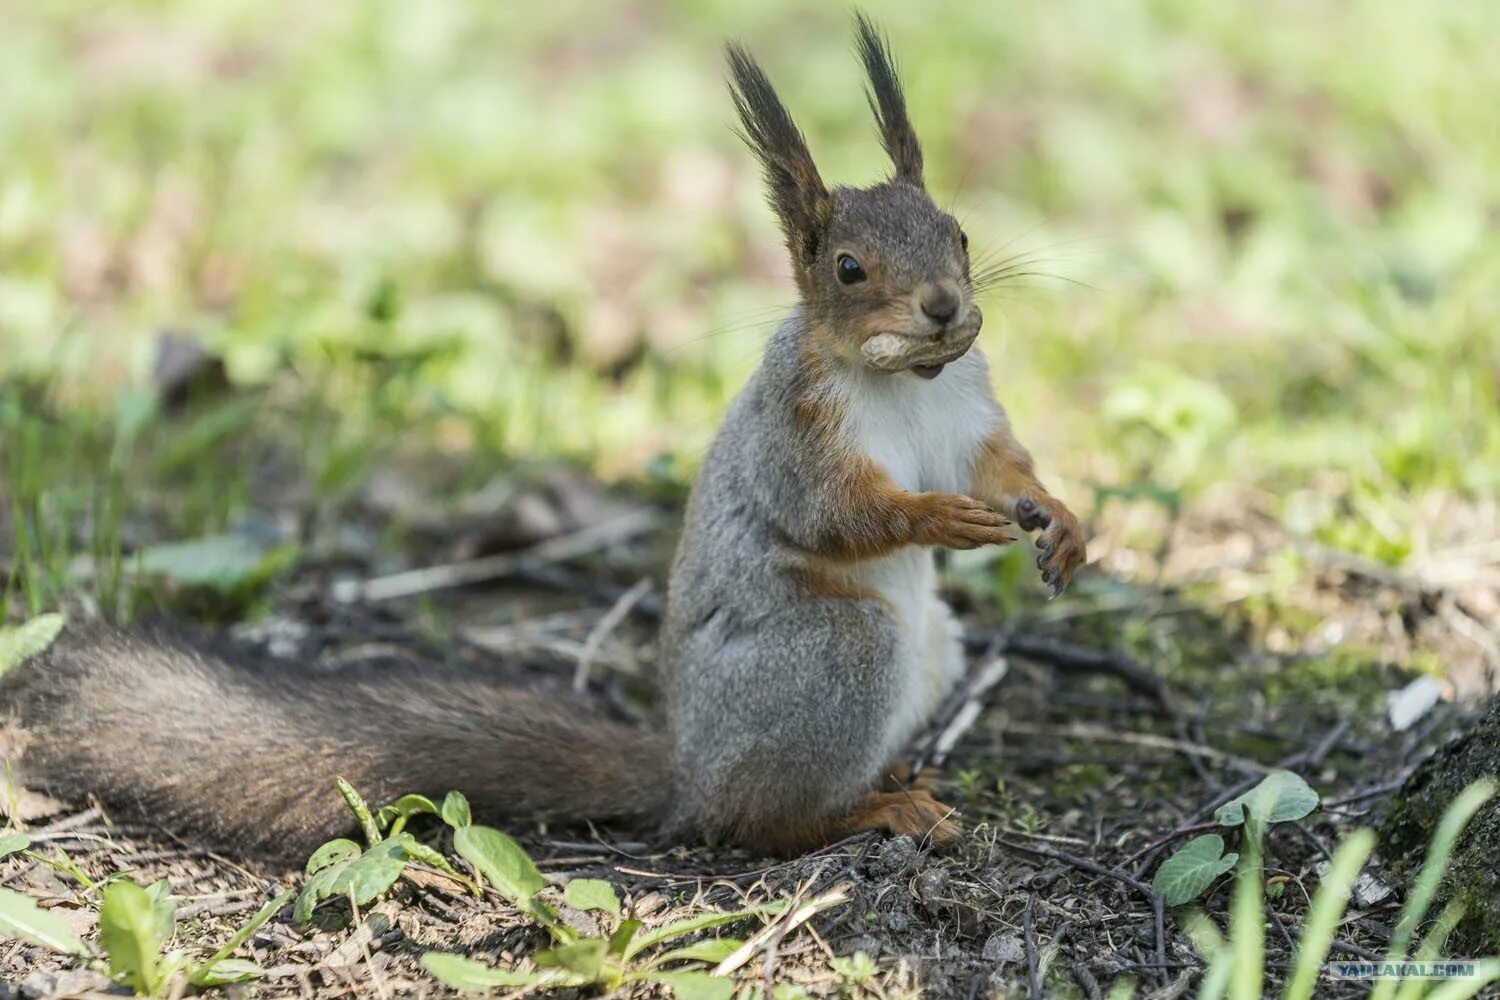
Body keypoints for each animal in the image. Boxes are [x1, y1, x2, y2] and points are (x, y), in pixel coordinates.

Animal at [0, 13, 1080, 863]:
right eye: (849, 268)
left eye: (960, 234)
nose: (944, 307)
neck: (902, 382)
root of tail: (684, 769)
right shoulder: (799, 429)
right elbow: (839, 513)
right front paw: (936, 517)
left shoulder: (966, 408)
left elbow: (1000, 464)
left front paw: (1061, 519)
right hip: (833, 659)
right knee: (754, 822)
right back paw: (868, 810)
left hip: (930, 649)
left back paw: (890, 777)